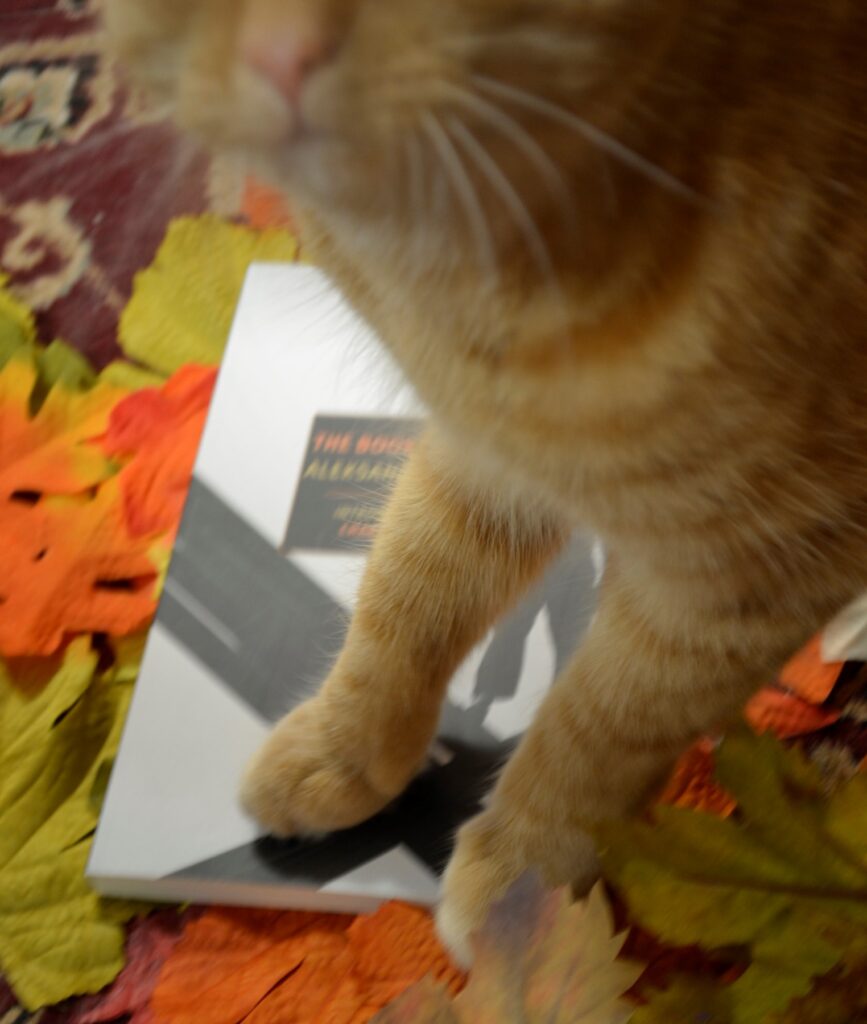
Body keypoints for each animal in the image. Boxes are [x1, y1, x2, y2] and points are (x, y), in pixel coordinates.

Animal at [106, 0, 867, 958]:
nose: (280, 53)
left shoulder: (745, 570)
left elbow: (601, 724)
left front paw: (524, 892)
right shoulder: (479, 458)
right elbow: (404, 605)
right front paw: (343, 754)